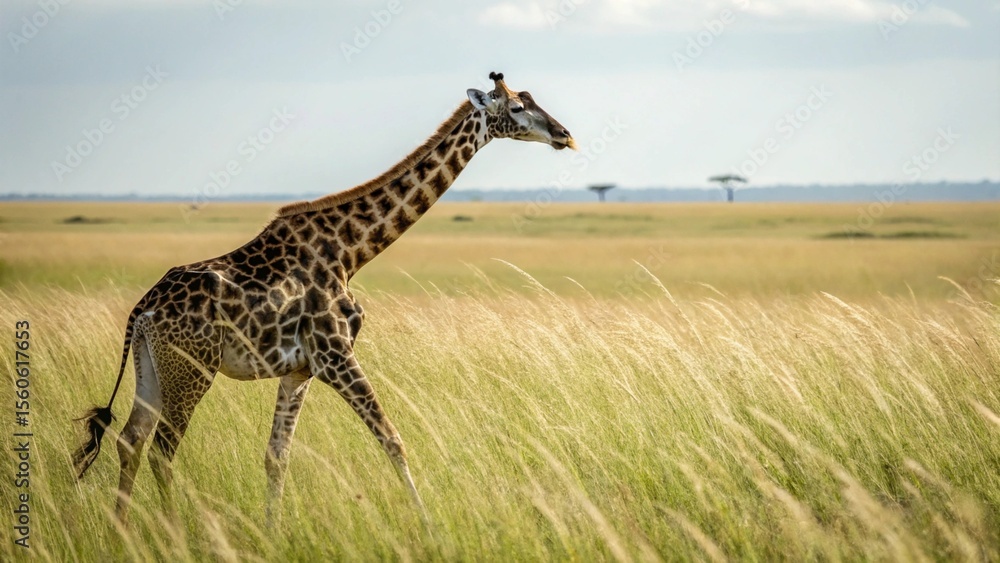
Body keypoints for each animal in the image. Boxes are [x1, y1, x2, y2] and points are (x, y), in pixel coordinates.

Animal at [72, 72, 575, 524]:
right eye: (516, 107)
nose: (565, 136)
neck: (351, 252)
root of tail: (142, 311)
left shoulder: (299, 369)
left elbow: (277, 455)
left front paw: (272, 533)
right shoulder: (335, 355)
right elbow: (392, 438)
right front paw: (428, 526)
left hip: (152, 366)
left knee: (130, 440)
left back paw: (122, 530)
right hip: (192, 367)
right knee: (163, 448)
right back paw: (176, 532)